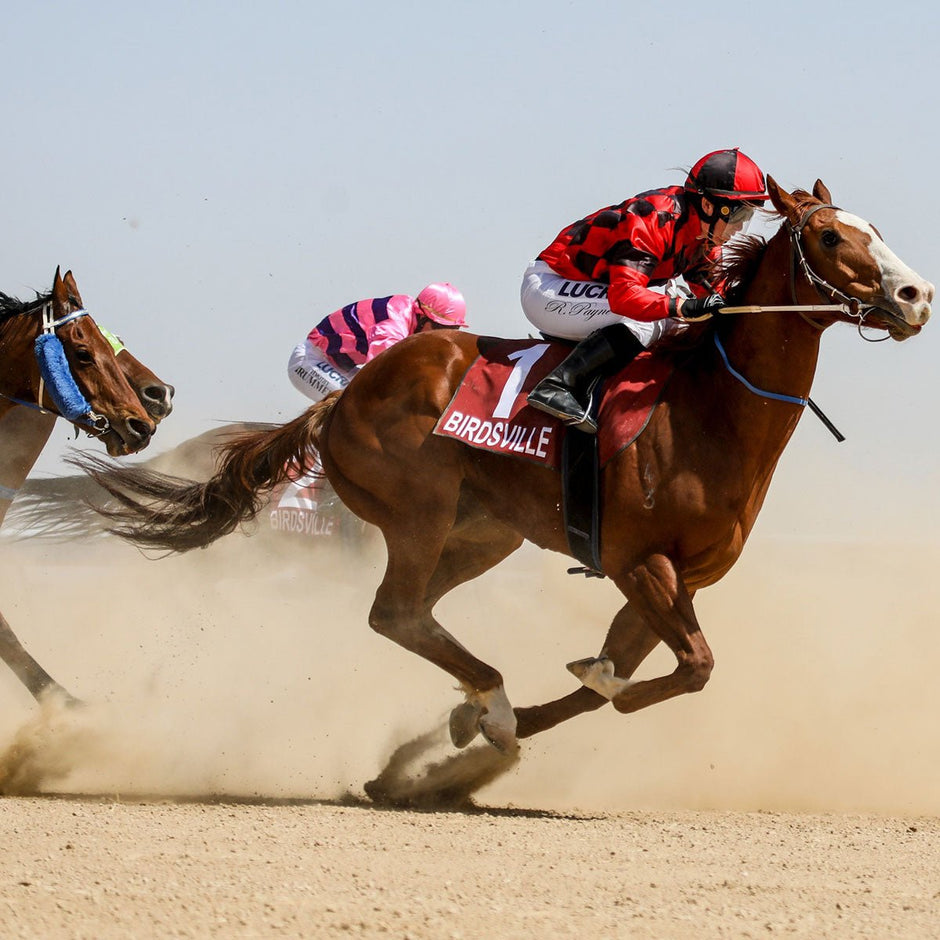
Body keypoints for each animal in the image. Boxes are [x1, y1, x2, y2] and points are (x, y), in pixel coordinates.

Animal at [81, 178, 932, 756]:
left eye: (876, 228)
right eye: (830, 238)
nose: (916, 294)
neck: (706, 410)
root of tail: (349, 394)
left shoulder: (675, 578)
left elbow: (627, 677)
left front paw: (485, 732)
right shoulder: (637, 561)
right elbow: (686, 668)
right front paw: (514, 714)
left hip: (484, 532)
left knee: (420, 612)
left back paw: (480, 703)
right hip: (419, 510)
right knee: (393, 612)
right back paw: (488, 696)